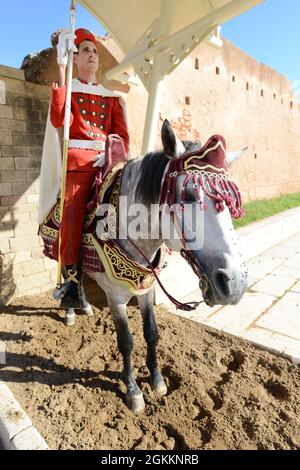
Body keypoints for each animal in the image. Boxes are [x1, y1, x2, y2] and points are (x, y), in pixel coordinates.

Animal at [63, 121, 248, 414]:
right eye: (188, 195)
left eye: (229, 200)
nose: (235, 283)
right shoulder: (115, 297)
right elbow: (126, 341)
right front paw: (133, 390)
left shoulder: (147, 289)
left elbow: (151, 333)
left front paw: (157, 380)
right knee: (66, 272)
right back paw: (70, 311)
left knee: (78, 277)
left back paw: (85, 306)